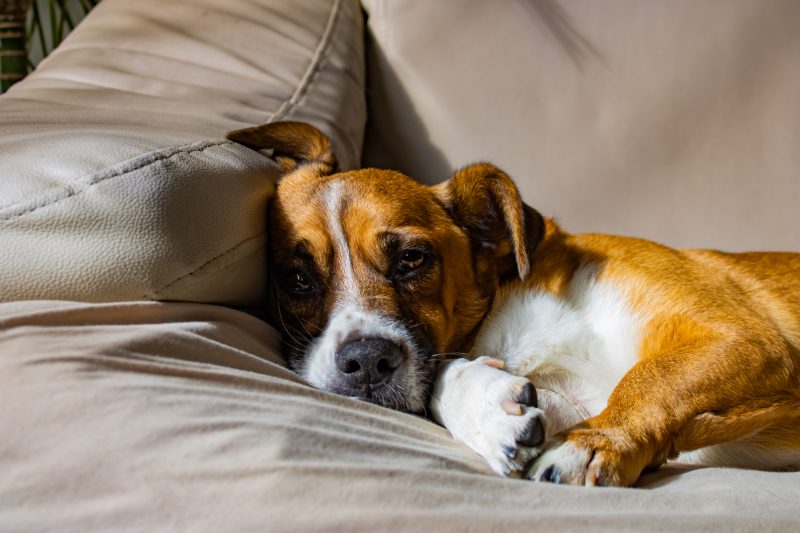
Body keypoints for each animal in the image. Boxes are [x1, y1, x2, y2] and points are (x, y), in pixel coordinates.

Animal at [225, 120, 800, 486]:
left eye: (412, 258)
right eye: (297, 279)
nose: (366, 362)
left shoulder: (746, 340)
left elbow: (651, 377)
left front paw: (597, 443)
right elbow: (444, 375)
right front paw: (487, 410)